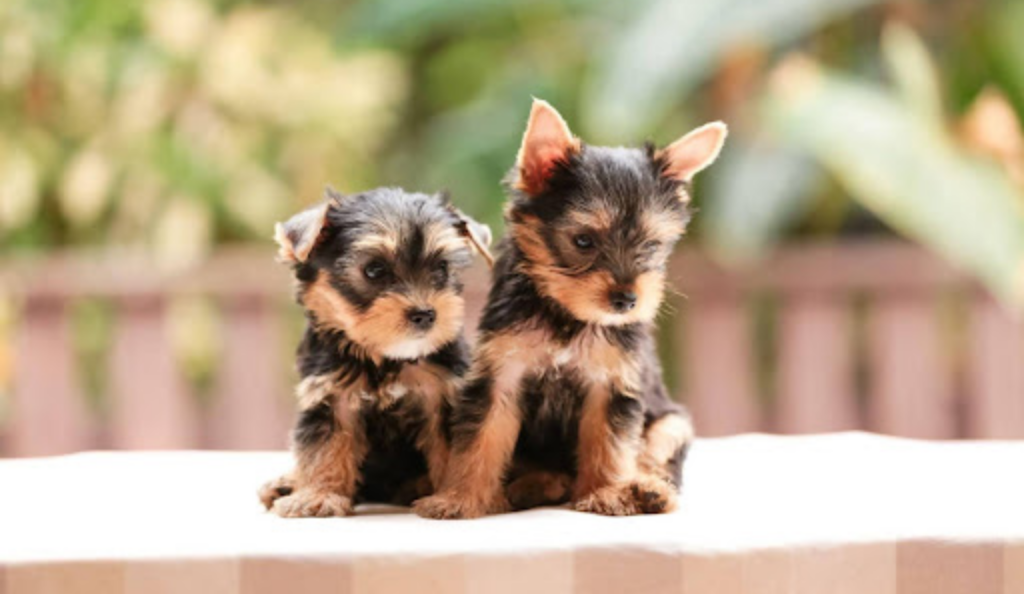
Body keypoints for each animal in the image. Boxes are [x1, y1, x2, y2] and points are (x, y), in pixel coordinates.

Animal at [260, 185, 491, 514]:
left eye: (442, 268)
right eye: (374, 270)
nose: (425, 314)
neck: (383, 357)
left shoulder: (442, 392)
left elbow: (451, 449)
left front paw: (451, 496)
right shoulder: (329, 393)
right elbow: (325, 446)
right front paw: (318, 495)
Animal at [415, 99, 729, 518]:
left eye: (651, 246)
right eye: (583, 241)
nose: (626, 300)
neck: (568, 314)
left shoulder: (612, 381)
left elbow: (608, 442)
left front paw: (607, 492)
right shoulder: (502, 372)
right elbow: (481, 437)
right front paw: (460, 498)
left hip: (671, 421)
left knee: (656, 451)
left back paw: (648, 489)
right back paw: (537, 484)